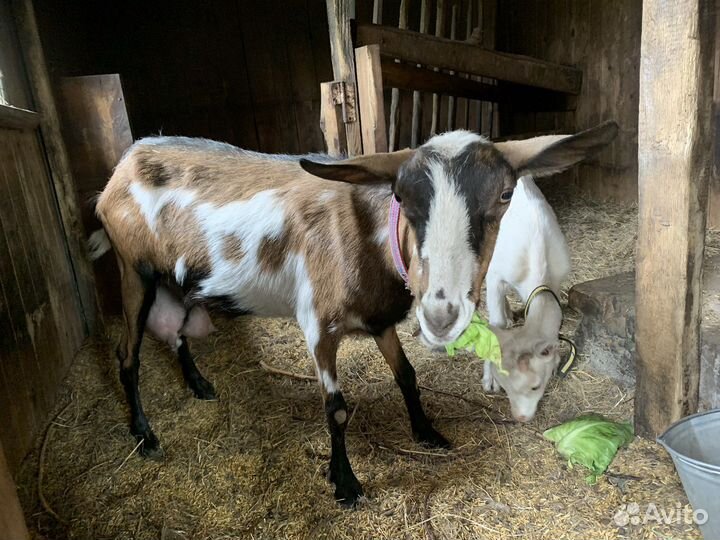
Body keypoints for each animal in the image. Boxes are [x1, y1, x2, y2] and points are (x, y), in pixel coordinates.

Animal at [483, 175, 571, 422]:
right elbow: (495, 324)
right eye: (505, 387)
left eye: (535, 386)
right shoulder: (494, 274)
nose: (520, 417)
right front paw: (488, 381)